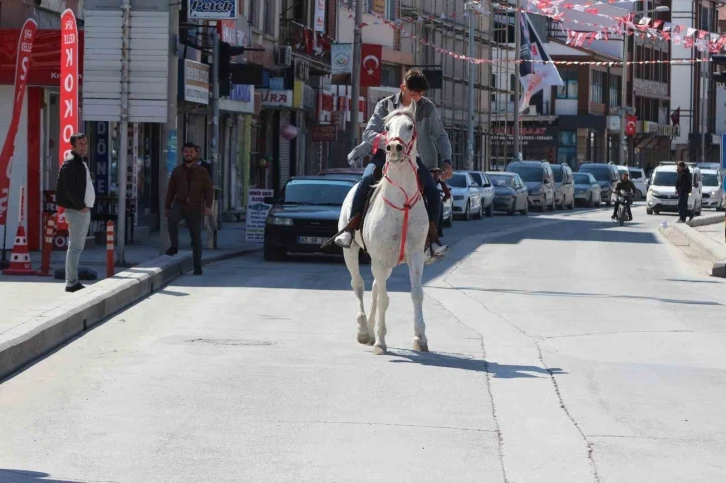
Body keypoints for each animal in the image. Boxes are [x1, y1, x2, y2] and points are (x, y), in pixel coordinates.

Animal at [342, 101, 432, 356]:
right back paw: (364, 331)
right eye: (387, 127)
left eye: (410, 126)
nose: (393, 147)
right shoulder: (379, 259)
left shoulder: (414, 256)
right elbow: (383, 299)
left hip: (388, 263)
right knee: (359, 285)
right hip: (351, 252)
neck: (401, 204)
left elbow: (416, 294)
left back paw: (371, 330)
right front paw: (381, 343)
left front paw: (420, 338)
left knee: (373, 287)